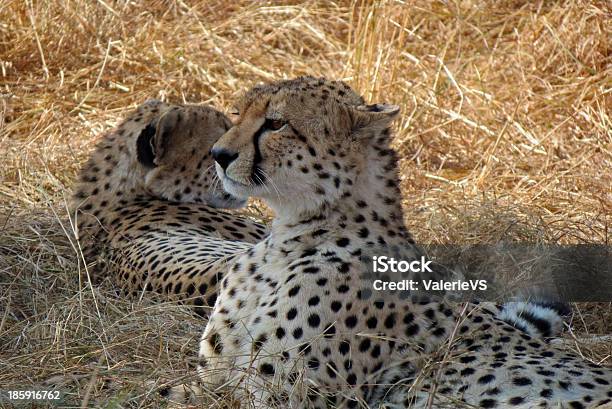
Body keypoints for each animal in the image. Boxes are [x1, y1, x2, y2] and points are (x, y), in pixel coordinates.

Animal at [197, 77, 612, 408]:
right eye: (237, 114)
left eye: (276, 123)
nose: (218, 154)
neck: (292, 236)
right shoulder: (212, 380)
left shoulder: (284, 396)